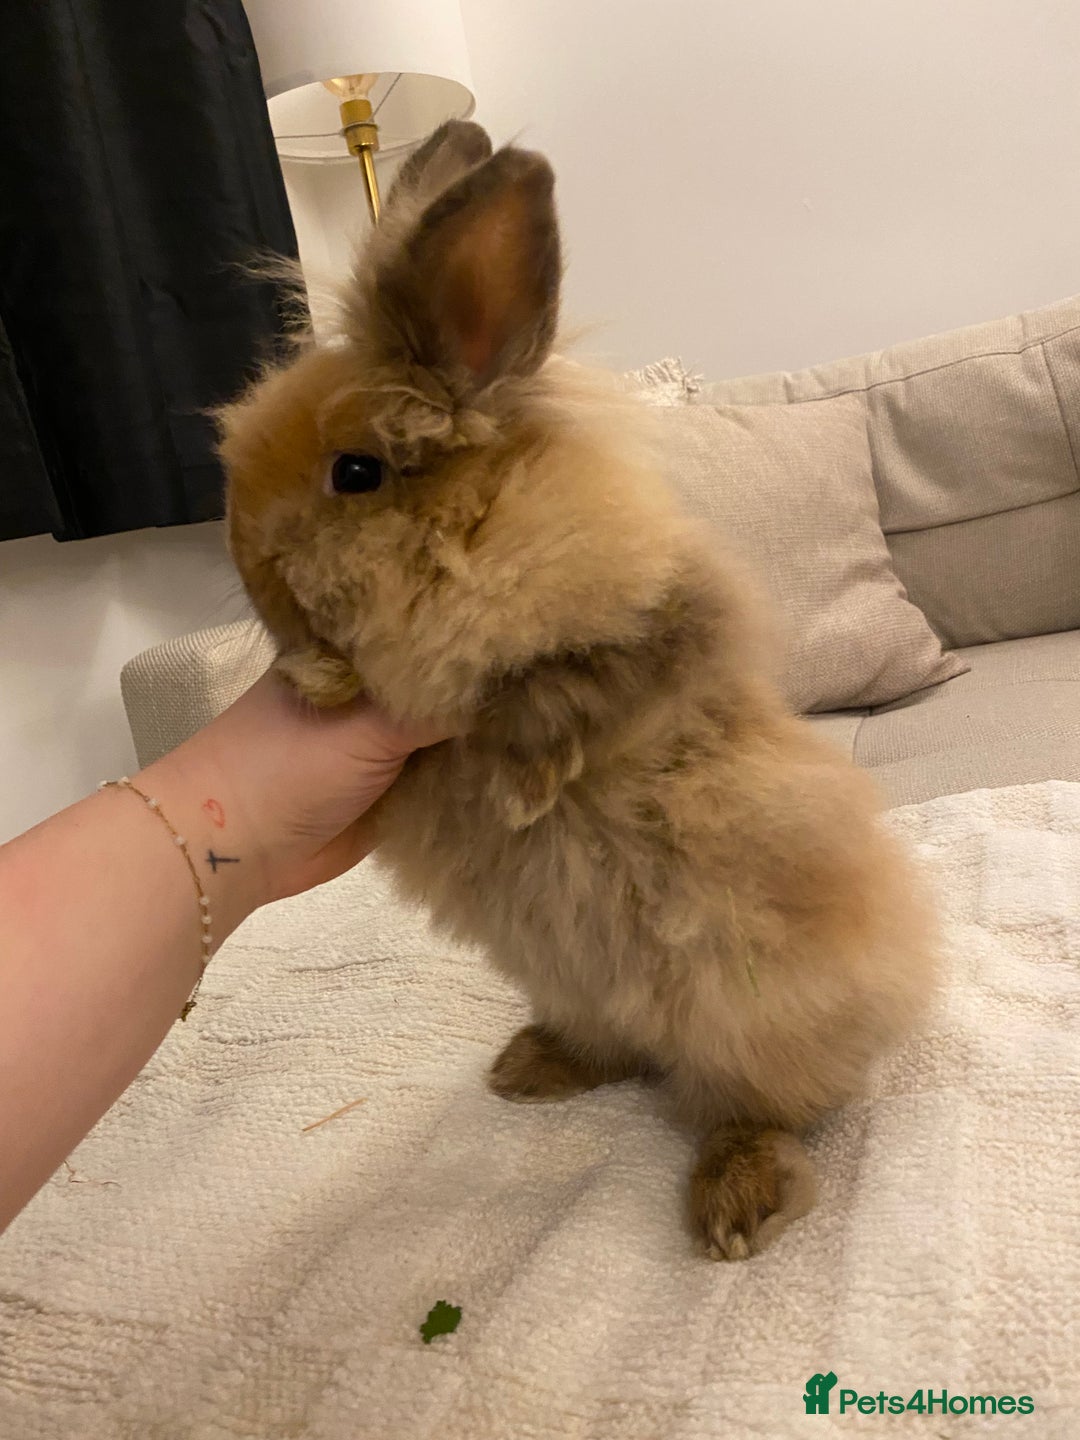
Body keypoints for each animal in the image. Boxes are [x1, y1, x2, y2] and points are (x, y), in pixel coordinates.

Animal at [219, 120, 939, 1261]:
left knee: (757, 1107)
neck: (475, 541)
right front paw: (316, 676)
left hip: (755, 1012)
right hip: (572, 983)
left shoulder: (657, 636)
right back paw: (529, 1069)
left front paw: (522, 782)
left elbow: (564, 690)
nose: (250, 570)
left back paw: (735, 1205)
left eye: (357, 473)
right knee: (619, 1053)